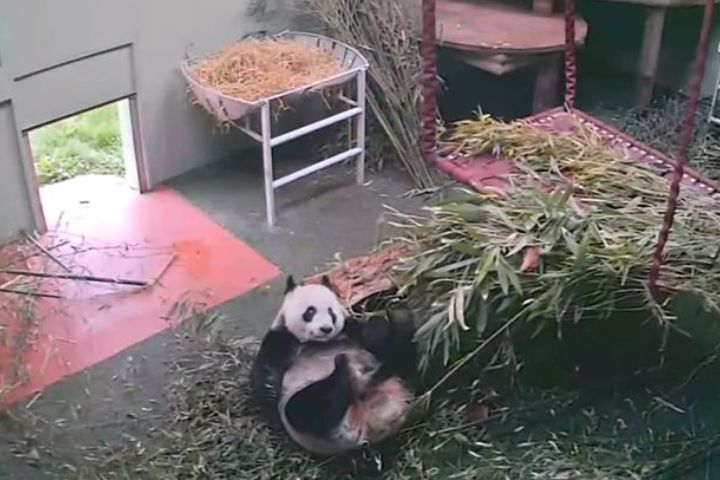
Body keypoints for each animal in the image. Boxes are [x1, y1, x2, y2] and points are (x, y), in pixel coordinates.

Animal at [250, 274, 417, 457]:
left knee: (401, 359)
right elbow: (264, 372)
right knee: (307, 409)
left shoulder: (349, 329)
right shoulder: (281, 339)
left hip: (396, 381)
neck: (319, 341)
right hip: (310, 419)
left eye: (331, 312)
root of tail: (366, 427)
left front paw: (376, 327)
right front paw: (269, 390)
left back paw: (400, 318)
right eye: (310, 311)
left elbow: (372, 337)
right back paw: (343, 369)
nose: (326, 329)